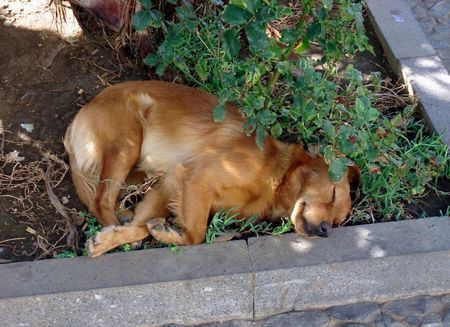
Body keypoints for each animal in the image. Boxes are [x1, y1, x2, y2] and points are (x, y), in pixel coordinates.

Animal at [63, 80, 360, 258]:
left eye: (337, 221)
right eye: (333, 193)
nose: (326, 230)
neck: (276, 179)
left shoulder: (170, 186)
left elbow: (144, 225)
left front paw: (125, 236)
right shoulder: (198, 179)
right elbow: (196, 235)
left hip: (139, 169)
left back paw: (120, 222)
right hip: (127, 143)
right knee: (100, 199)